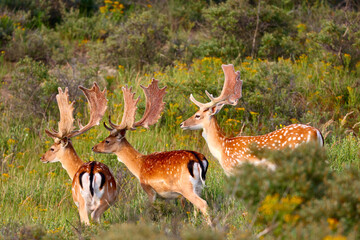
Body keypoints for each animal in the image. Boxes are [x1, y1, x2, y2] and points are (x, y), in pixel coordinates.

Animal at [40, 83, 116, 225]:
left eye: (52, 148)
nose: (42, 157)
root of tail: (91, 172)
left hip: (83, 202)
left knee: (88, 221)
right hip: (104, 200)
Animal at [91, 79, 212, 226]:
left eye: (107, 140)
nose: (94, 147)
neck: (139, 166)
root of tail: (199, 160)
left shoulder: (149, 189)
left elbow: (149, 210)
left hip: (186, 187)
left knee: (203, 204)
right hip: (198, 186)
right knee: (196, 206)